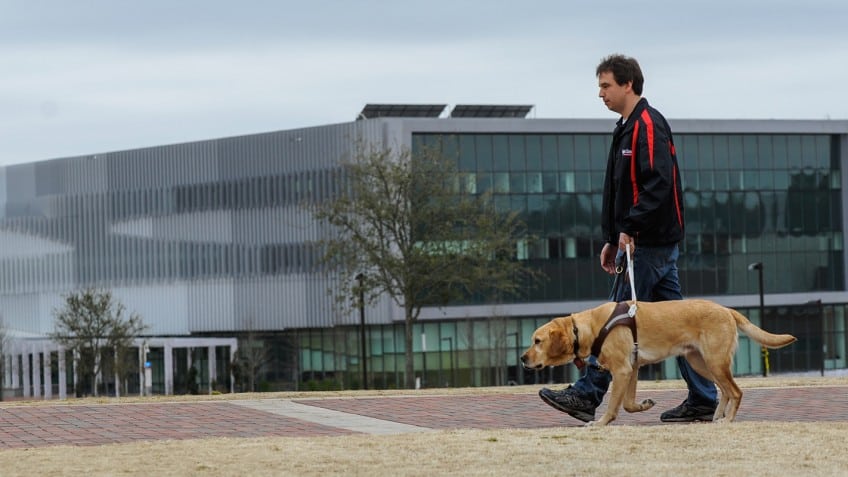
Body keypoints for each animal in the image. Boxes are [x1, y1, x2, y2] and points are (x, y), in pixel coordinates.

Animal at [520, 300, 800, 426]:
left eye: (537, 341)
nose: (522, 358)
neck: (590, 327)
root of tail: (726, 309)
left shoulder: (622, 370)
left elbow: (613, 405)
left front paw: (600, 423)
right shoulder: (632, 369)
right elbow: (628, 403)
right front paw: (644, 405)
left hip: (715, 361)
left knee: (736, 391)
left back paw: (727, 419)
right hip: (701, 362)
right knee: (724, 390)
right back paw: (717, 415)